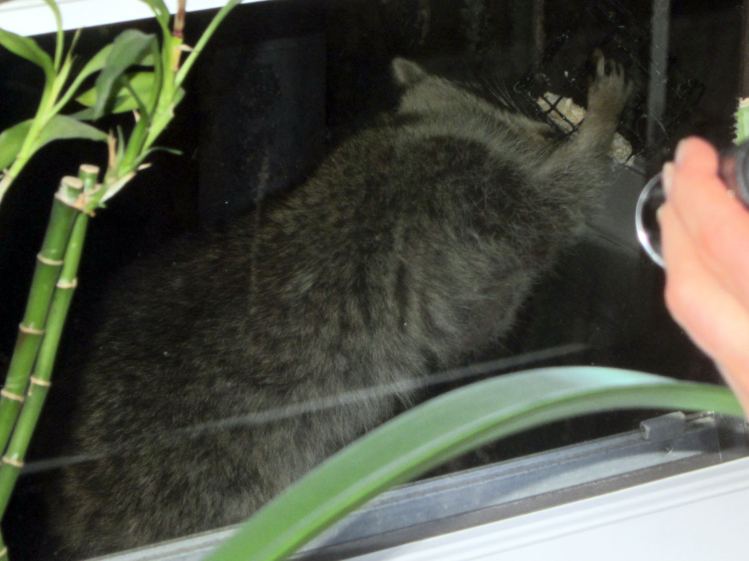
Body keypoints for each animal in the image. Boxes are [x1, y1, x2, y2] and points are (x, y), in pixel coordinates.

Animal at [44, 54, 629, 558]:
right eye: (520, 124)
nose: (551, 132)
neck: (408, 129)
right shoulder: (468, 191)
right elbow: (558, 206)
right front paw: (600, 124)